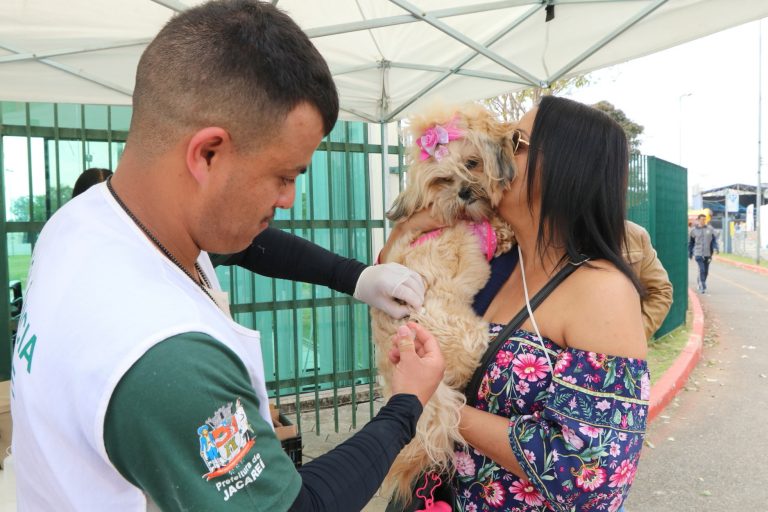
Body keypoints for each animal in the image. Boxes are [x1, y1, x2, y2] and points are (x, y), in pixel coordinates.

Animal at [372, 102, 516, 502]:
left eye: (472, 162)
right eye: (442, 180)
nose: (466, 192)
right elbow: (498, 230)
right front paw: (504, 230)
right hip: (470, 336)